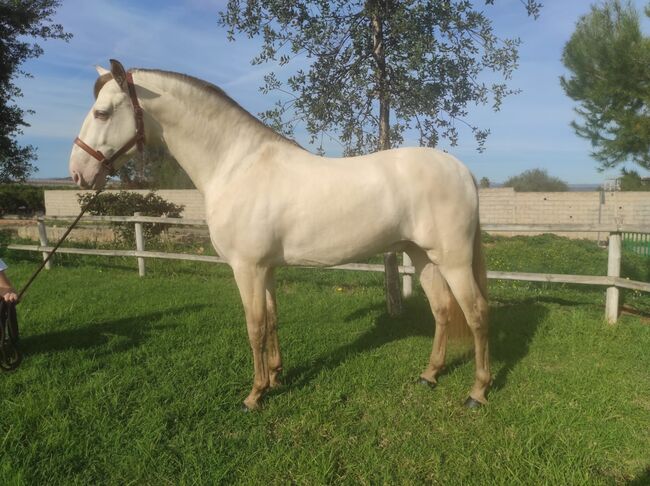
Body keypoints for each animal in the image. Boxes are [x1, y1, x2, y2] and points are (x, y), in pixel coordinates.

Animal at [68, 60, 488, 410]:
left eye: (102, 113)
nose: (78, 173)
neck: (236, 165)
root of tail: (462, 170)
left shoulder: (247, 268)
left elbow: (254, 326)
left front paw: (254, 395)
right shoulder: (266, 268)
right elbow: (271, 319)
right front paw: (275, 377)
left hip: (453, 260)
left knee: (477, 313)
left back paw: (477, 392)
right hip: (422, 256)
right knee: (442, 310)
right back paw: (429, 375)